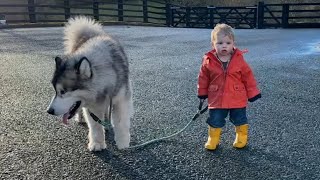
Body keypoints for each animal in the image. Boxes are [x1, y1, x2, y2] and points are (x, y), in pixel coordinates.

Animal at [46, 16, 132, 151]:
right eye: (55, 91)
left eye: (63, 91)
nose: (49, 111)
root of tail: (90, 35)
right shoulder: (92, 106)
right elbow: (95, 125)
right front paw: (97, 143)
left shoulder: (122, 99)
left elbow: (121, 121)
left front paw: (122, 142)